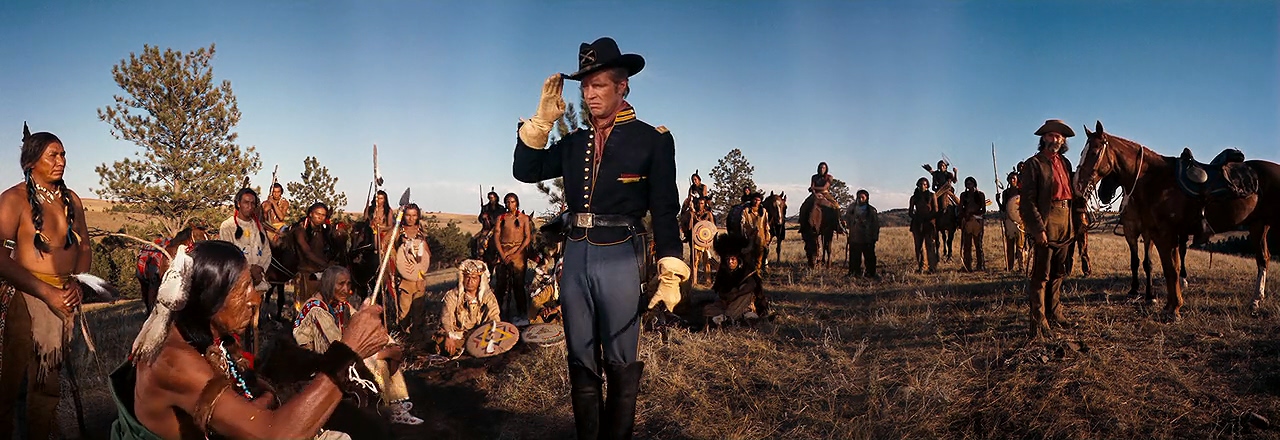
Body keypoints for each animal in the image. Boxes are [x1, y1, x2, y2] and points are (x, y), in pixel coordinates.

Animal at [1075, 122, 1274, 318]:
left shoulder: (1161, 233)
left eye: (1094, 152)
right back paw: (1255, 301)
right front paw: (1169, 305)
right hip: (1258, 225)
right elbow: (1165, 267)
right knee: (1263, 258)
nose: (1078, 184)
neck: (1155, 180)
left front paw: (1168, 305)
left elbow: (1167, 267)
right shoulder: (1149, 233)